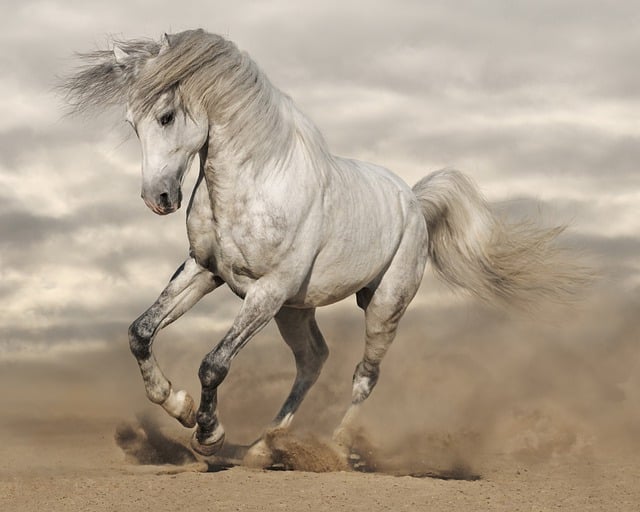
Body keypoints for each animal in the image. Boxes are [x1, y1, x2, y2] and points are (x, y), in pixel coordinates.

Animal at [63, 29, 588, 462]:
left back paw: (335, 448)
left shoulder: (267, 291)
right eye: (131, 123)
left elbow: (214, 363)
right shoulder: (205, 271)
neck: (254, 183)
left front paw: (208, 433)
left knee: (364, 375)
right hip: (296, 311)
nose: (158, 199)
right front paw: (179, 406)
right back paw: (264, 447)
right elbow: (141, 331)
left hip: (382, 306)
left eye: (167, 116)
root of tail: (414, 202)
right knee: (313, 360)